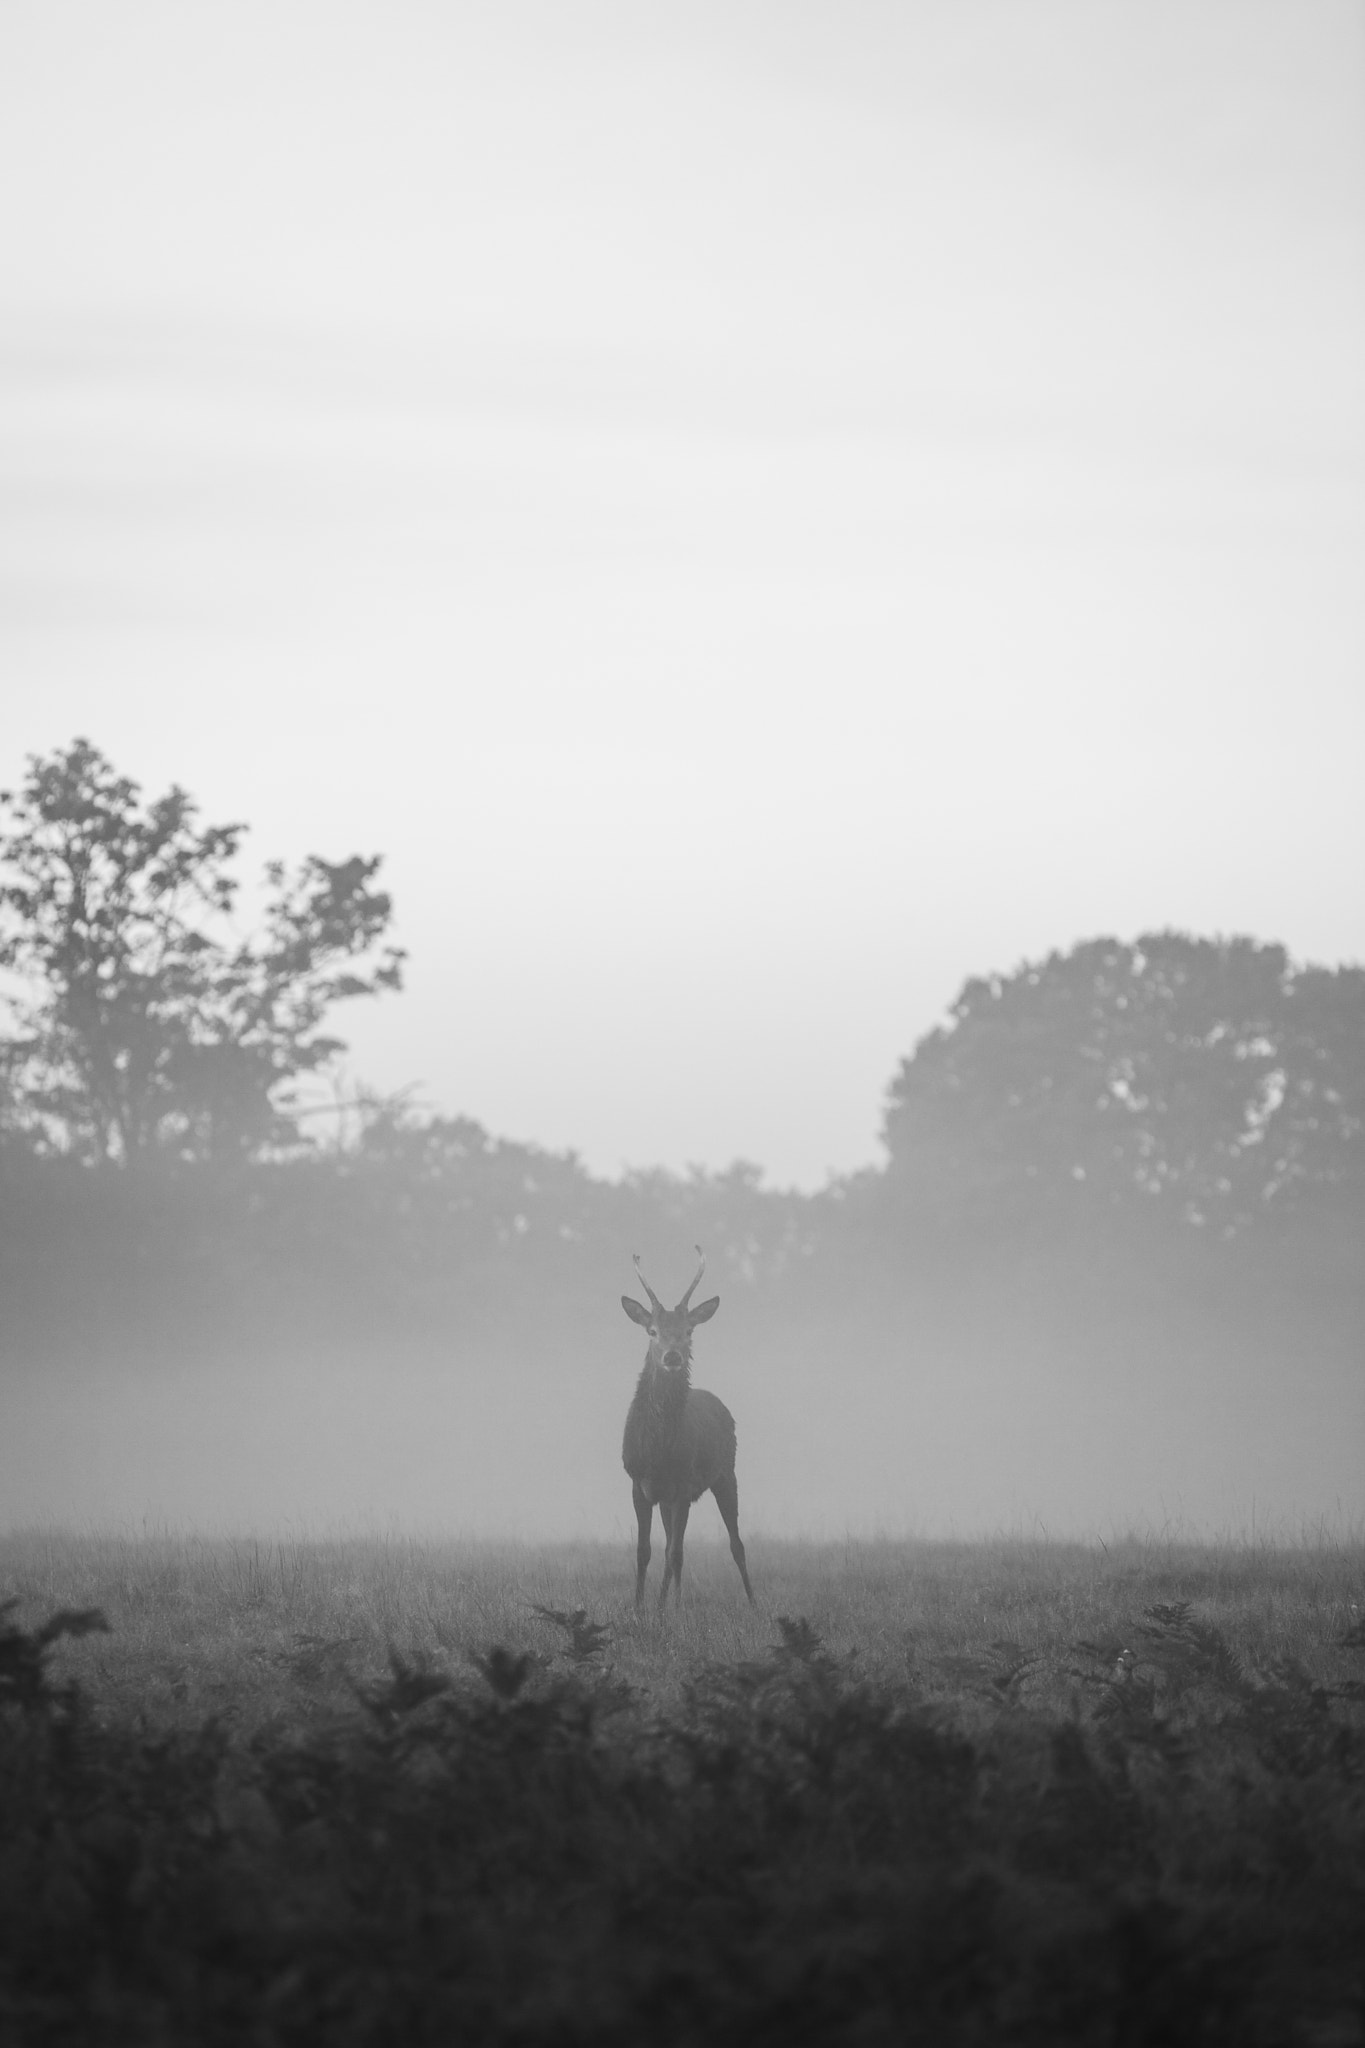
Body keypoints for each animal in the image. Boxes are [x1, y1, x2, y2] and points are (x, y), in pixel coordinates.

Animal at [622, 1236, 757, 1605]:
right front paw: (639, 1608)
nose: (672, 1357)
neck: (658, 1452)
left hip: (726, 1473)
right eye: (652, 1330)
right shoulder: (640, 1484)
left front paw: (659, 1609)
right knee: (675, 1546)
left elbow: (673, 1553)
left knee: (736, 1545)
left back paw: (753, 1604)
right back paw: (678, 1602)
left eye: (688, 1331)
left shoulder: (682, 1485)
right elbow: (644, 1551)